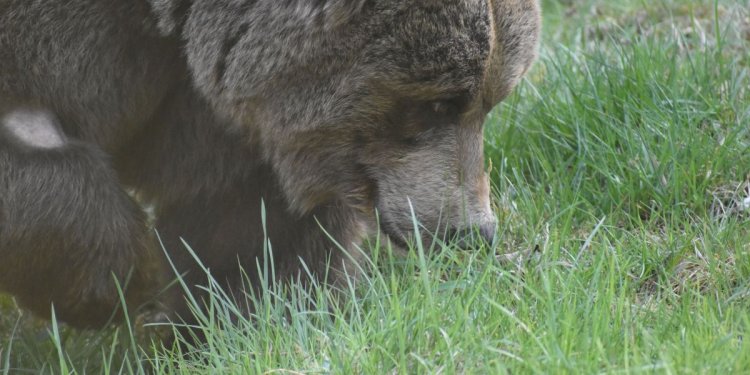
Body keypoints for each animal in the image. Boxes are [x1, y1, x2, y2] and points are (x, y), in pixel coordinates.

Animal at [0, 0, 540, 328]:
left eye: (493, 100)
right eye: (438, 103)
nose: (471, 231)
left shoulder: (202, 97)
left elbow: (244, 228)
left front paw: (236, 320)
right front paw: (114, 280)